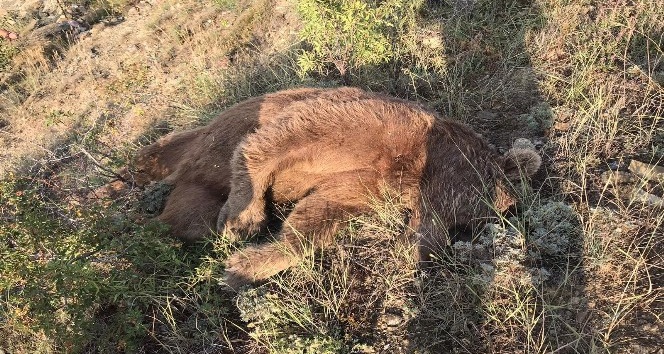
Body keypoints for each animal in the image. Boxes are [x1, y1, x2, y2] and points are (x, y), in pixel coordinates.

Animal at [218, 91, 540, 288]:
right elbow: (270, 145)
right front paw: (243, 220)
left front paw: (243, 266)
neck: (413, 168)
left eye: (461, 226)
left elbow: (313, 219)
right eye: (460, 216)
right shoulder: (366, 127)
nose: (420, 256)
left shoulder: (362, 187)